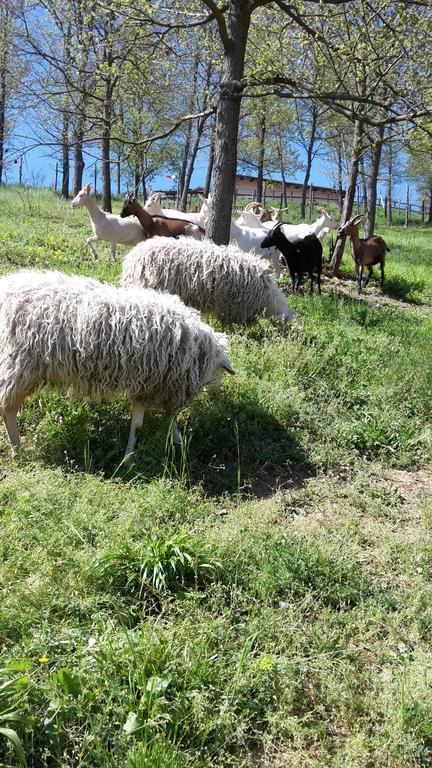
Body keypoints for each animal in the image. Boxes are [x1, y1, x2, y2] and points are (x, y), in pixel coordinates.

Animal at [0, 270, 235, 460]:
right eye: (222, 372)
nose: (217, 396)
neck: (190, 347)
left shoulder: (150, 384)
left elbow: (164, 417)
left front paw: (176, 441)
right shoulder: (153, 381)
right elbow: (140, 426)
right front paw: (129, 457)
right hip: (19, 365)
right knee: (8, 408)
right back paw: (17, 449)